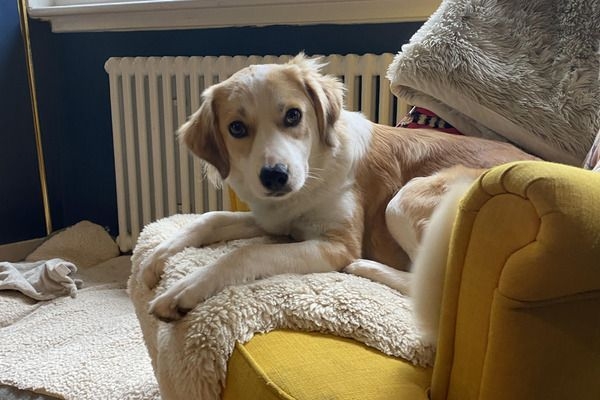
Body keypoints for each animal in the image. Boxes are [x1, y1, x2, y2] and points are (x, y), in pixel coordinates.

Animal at [139, 53, 536, 346]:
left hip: (404, 200)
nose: (275, 176)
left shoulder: (337, 245)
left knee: (428, 287)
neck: (315, 171)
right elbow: (212, 219)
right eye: (237, 128)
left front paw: (184, 290)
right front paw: (158, 257)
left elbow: (246, 253)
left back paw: (367, 268)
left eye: (293, 115)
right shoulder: (276, 221)